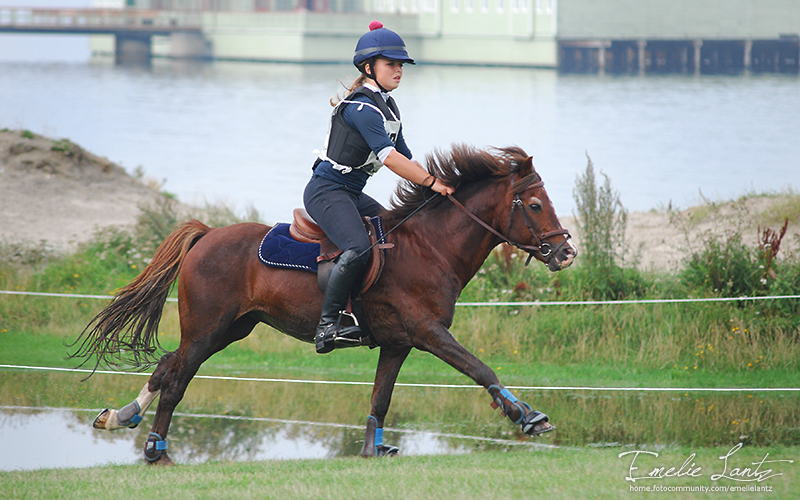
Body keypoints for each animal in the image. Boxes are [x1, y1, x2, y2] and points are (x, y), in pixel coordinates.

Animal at [73, 145, 576, 464]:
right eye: (534, 204)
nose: (566, 252)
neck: (430, 248)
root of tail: (208, 234)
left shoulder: (398, 343)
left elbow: (381, 398)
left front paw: (373, 449)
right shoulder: (429, 332)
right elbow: (479, 368)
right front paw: (528, 416)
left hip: (229, 329)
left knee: (165, 368)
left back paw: (120, 417)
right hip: (208, 329)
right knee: (177, 379)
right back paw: (156, 450)